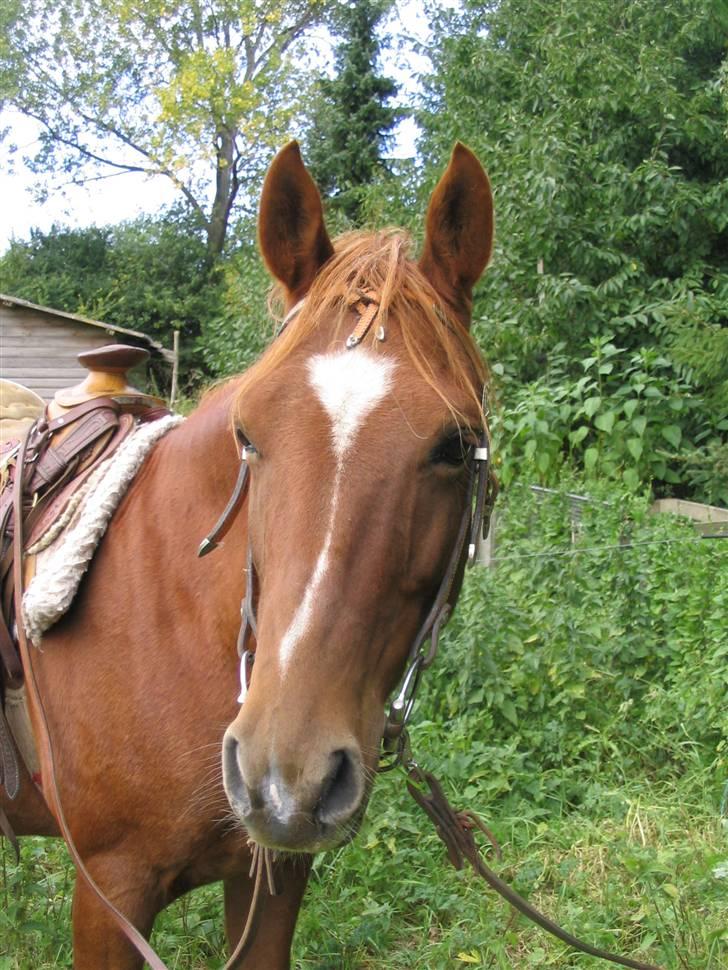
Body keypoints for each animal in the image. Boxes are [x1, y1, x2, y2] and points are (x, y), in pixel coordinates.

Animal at [1, 138, 494, 968]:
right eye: (248, 434)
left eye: (454, 446)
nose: (286, 773)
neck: (172, 623)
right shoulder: (109, 894)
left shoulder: (275, 878)